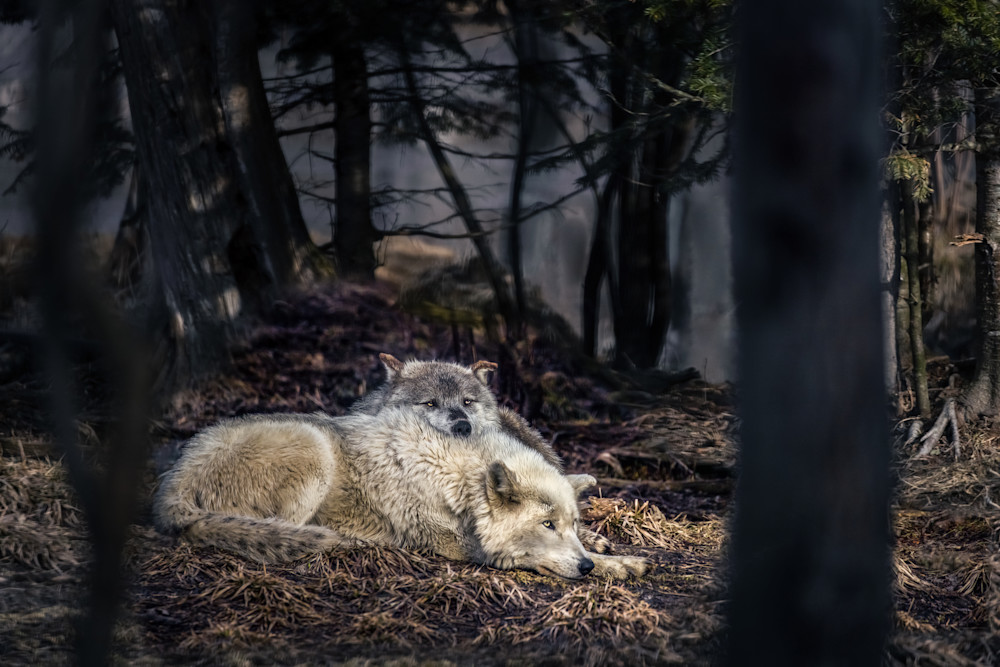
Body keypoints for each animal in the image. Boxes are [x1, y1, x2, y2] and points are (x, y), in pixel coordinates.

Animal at [153, 409, 648, 579]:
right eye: (546, 524)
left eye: (570, 524)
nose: (584, 567)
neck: (454, 477)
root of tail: (176, 475)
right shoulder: (460, 547)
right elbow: (515, 555)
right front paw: (618, 564)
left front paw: (603, 548)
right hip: (313, 447)